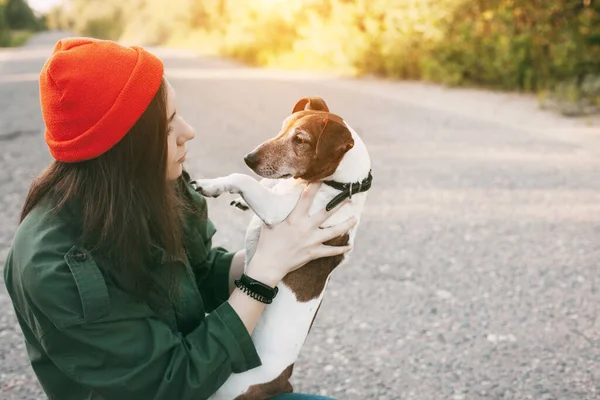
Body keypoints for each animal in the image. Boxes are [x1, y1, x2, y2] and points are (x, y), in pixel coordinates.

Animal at [192, 97, 370, 400]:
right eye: (282, 128)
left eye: (300, 139)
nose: (248, 158)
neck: (339, 186)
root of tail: (282, 382)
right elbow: (266, 182)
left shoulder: (277, 211)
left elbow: (243, 179)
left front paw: (212, 184)